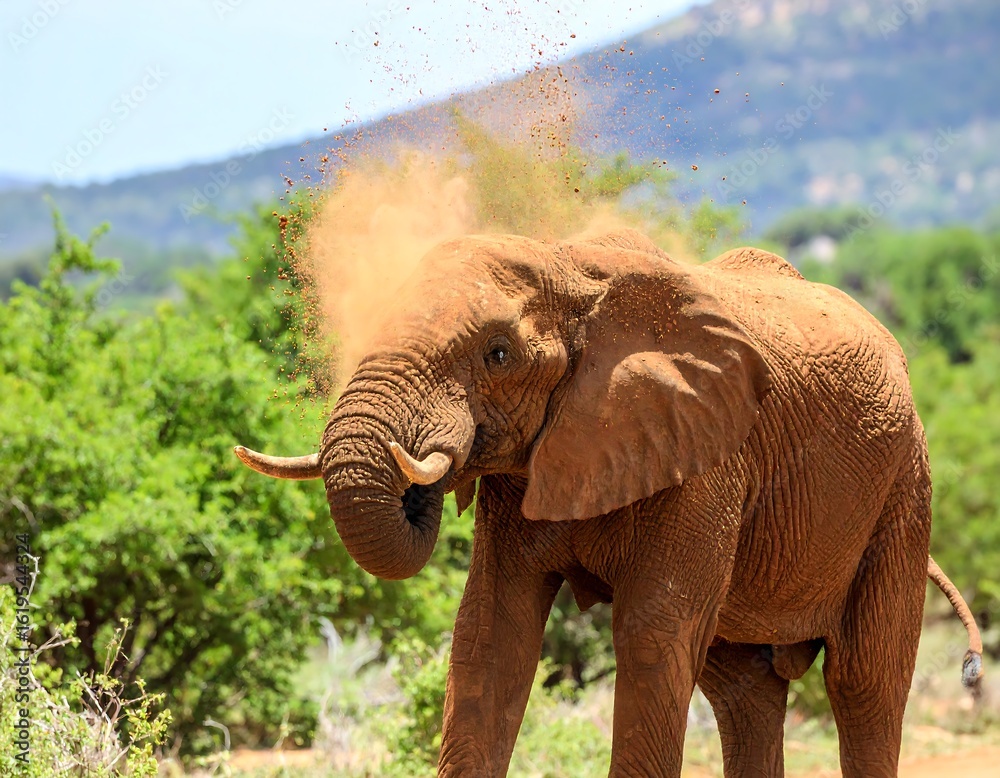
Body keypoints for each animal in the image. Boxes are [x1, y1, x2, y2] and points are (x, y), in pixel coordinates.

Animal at [234, 229, 983, 777]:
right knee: (744, 692)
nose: (419, 485)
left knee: (865, 683)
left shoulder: (706, 458)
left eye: (498, 354)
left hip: (904, 488)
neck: (569, 268)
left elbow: (652, 636)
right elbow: (489, 633)